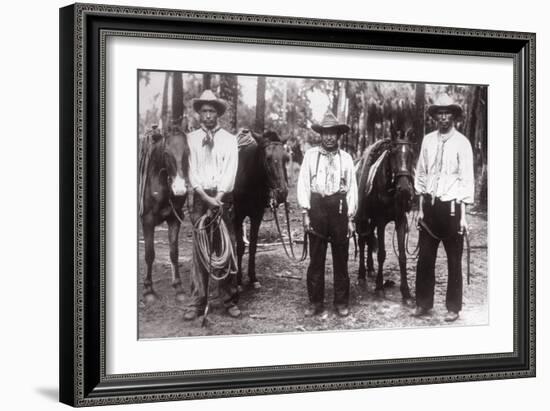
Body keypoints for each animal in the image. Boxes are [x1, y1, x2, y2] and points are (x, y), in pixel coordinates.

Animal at [139, 125, 191, 302]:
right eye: (167, 153)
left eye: (187, 152)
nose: (180, 188)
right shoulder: (147, 221)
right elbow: (149, 254)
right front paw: (148, 290)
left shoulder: (174, 219)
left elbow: (174, 253)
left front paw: (179, 287)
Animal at [234, 131, 292, 290]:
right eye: (268, 158)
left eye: (286, 158)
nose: (282, 193)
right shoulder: (237, 216)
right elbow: (240, 247)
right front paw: (238, 281)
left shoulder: (257, 216)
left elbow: (253, 246)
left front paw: (253, 278)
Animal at [356, 134, 416, 302]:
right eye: (393, 154)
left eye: (412, 155)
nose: (404, 190)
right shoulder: (382, 221)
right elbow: (382, 254)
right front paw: (379, 287)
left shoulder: (400, 220)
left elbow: (402, 256)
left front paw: (406, 292)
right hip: (364, 219)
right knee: (362, 242)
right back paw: (362, 275)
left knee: (369, 239)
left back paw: (370, 268)